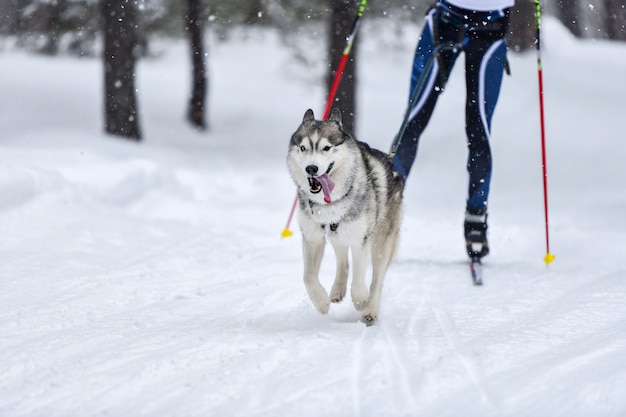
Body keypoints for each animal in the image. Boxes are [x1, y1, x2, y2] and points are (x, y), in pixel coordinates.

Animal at [286, 108, 402, 324]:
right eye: (303, 148)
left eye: (326, 148)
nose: (311, 169)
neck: (329, 203)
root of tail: (393, 166)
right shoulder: (312, 238)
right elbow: (308, 277)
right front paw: (321, 302)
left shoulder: (360, 239)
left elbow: (359, 279)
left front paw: (360, 300)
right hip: (336, 234)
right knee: (342, 260)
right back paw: (337, 290)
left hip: (380, 241)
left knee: (377, 279)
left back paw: (370, 310)